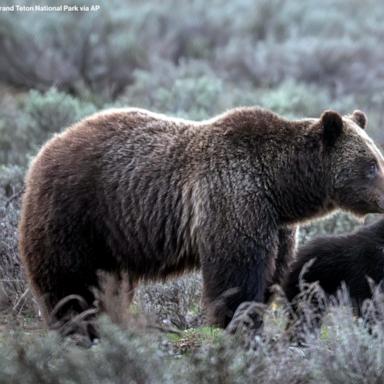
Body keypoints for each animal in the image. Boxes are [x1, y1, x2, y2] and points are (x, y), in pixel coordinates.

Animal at [18, 106, 384, 330]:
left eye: (378, 158)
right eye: (371, 165)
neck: (281, 187)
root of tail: (46, 148)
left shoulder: (277, 225)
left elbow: (272, 274)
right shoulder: (234, 197)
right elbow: (237, 274)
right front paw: (240, 326)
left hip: (112, 237)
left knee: (108, 284)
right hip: (77, 212)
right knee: (69, 282)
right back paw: (78, 327)